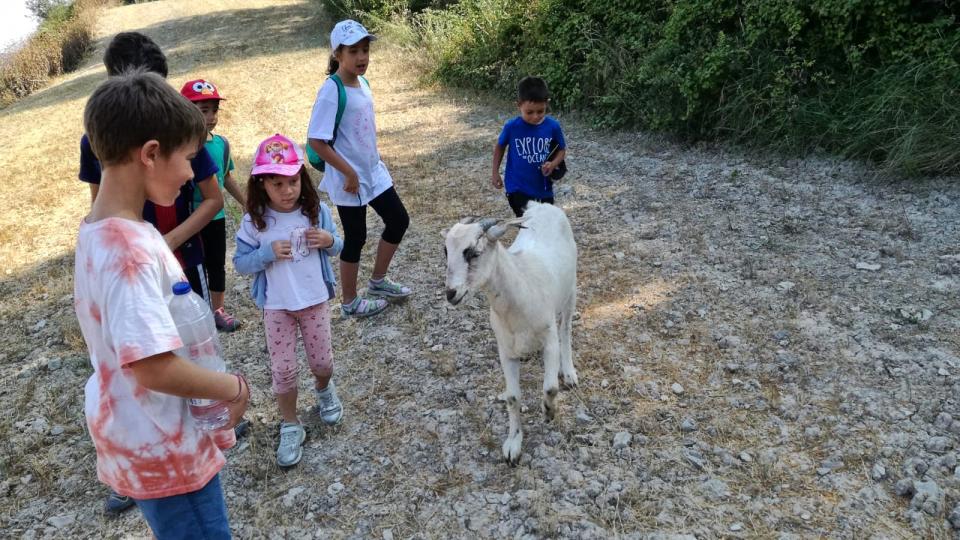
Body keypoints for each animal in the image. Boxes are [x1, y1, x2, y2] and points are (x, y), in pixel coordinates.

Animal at [442, 202, 576, 464]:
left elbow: (550, 387)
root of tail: (541, 204)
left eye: (473, 252)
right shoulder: (505, 350)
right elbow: (513, 398)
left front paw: (548, 411)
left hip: (571, 289)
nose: (451, 293)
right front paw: (513, 444)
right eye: (446, 252)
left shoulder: (549, 340)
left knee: (566, 328)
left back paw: (569, 373)